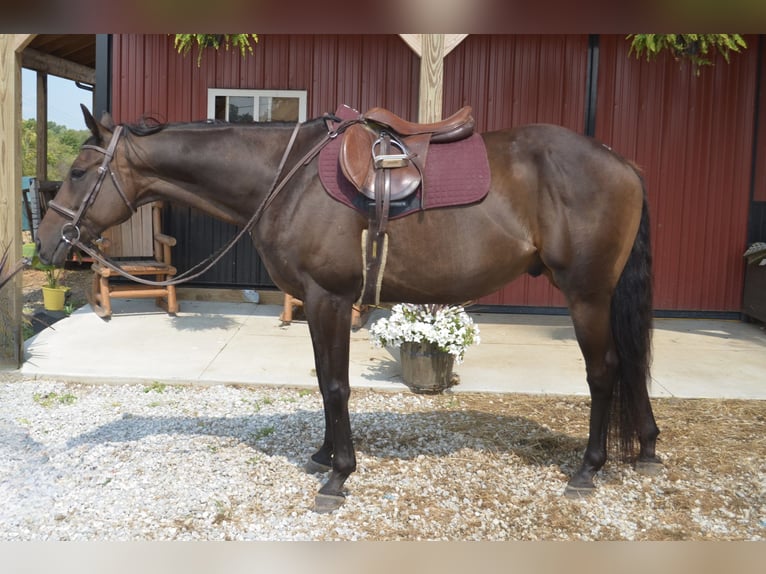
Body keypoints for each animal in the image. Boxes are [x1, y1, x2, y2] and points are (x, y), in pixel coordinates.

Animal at [35, 105, 662, 513]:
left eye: (78, 172)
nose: (46, 244)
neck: (283, 180)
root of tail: (623, 164)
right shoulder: (317, 305)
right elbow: (322, 381)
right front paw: (323, 454)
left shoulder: (328, 299)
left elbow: (336, 385)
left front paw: (338, 477)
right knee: (631, 366)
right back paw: (647, 448)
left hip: (586, 294)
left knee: (605, 372)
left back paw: (589, 468)